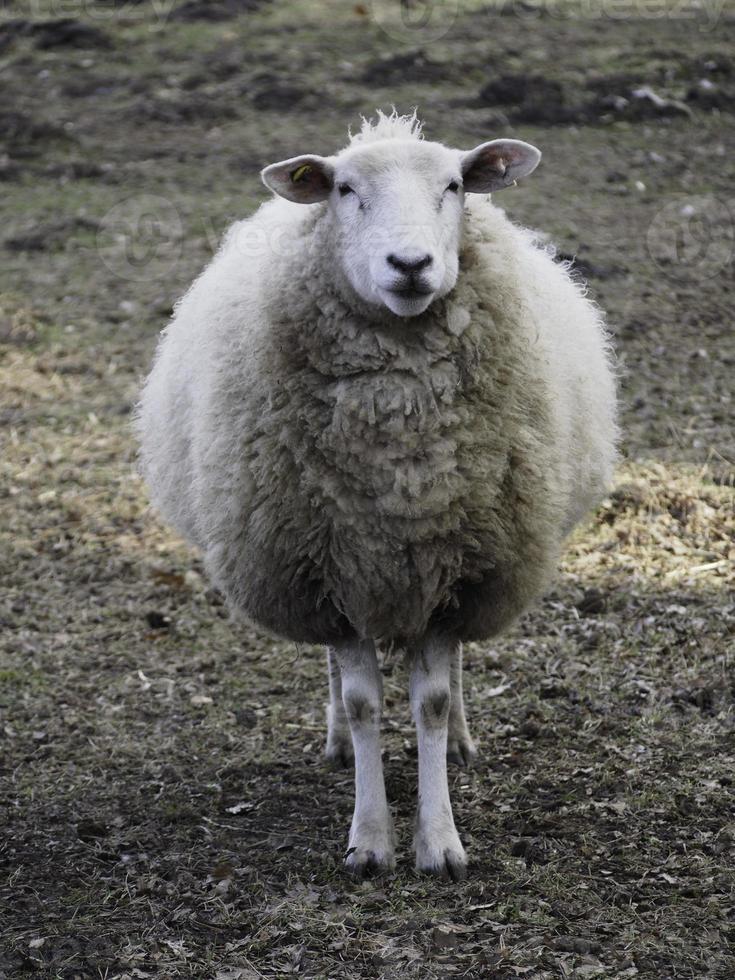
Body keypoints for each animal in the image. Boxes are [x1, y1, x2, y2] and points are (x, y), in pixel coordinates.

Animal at [135, 109, 620, 880]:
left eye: (455, 186)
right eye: (344, 189)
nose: (411, 265)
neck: (401, 462)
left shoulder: (456, 571)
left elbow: (430, 702)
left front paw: (440, 839)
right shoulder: (331, 574)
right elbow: (364, 703)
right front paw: (369, 839)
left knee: (451, 677)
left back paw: (460, 739)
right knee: (340, 679)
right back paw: (338, 741)